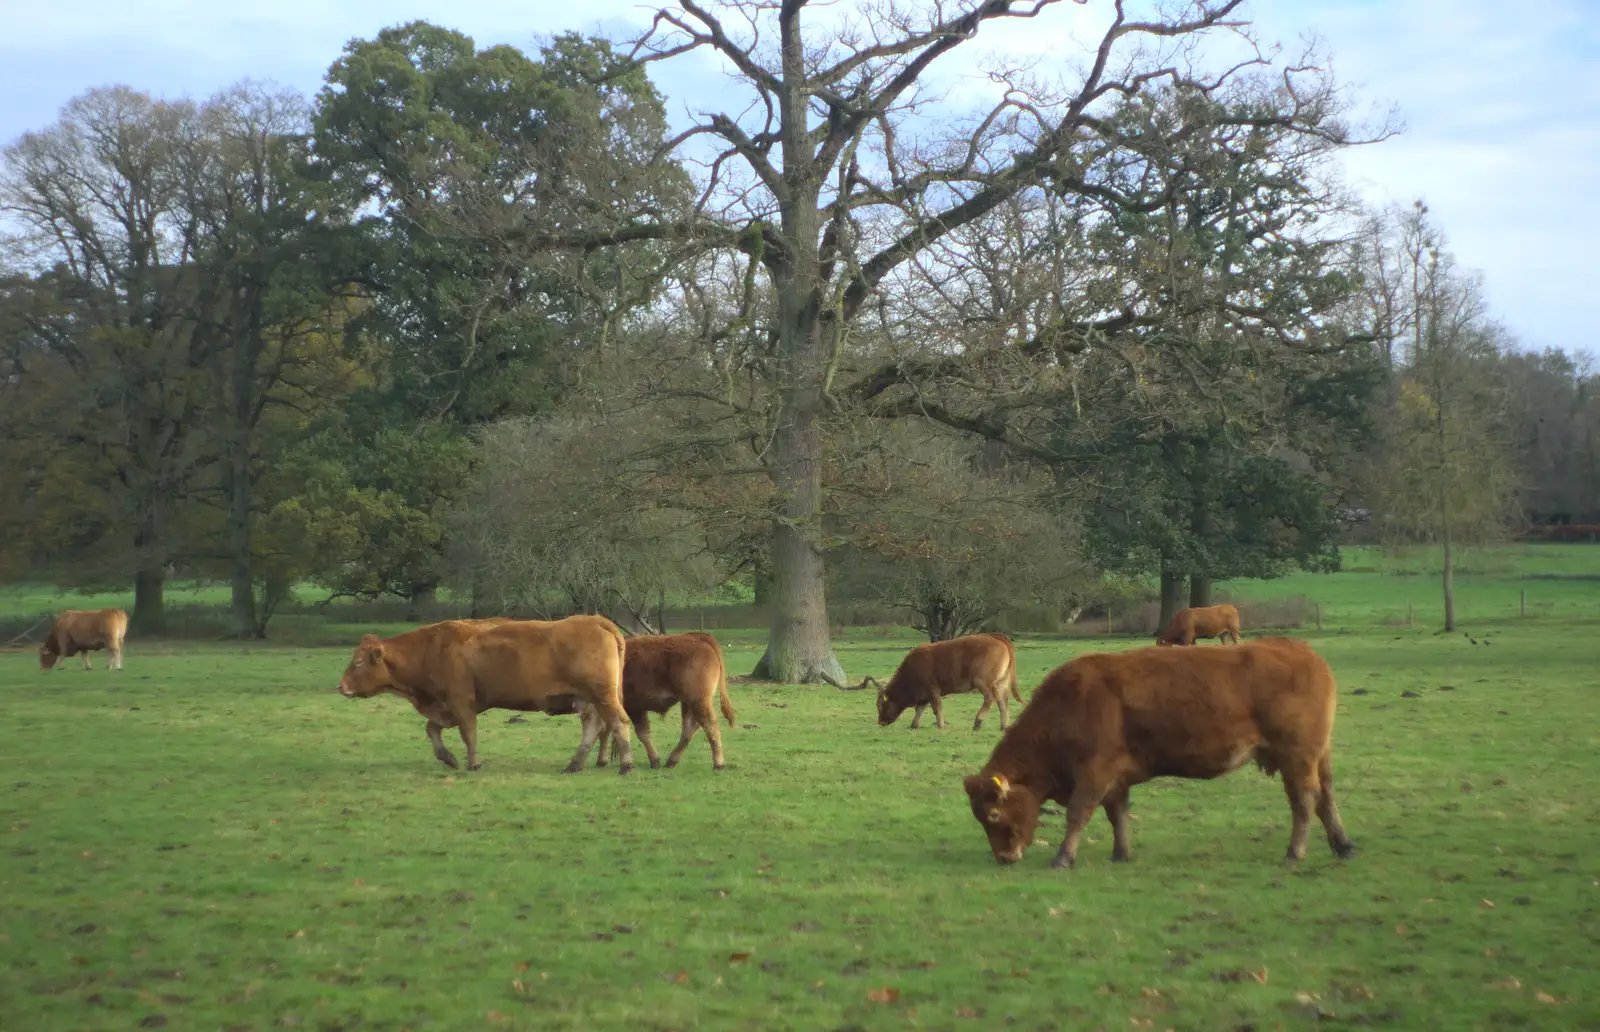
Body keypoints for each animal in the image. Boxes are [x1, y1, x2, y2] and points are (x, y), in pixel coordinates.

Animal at [337, 611, 636, 774]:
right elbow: (432, 728)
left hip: (603, 696)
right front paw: (447, 757)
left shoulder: (460, 702)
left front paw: (473, 763)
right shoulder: (445, 707)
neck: (430, 650)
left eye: (359, 662)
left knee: (618, 722)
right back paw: (574, 764)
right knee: (594, 727)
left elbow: (468, 733)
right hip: (588, 700)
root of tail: (597, 621)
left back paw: (626, 765)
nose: (341, 686)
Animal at [588, 630, 736, 768]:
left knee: (710, 726)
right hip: (688, 703)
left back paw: (718, 763)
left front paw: (654, 760)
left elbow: (641, 733)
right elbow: (609, 729)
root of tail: (699, 637)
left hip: (698, 702)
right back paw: (672, 760)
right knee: (689, 729)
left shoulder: (634, 708)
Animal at [876, 630, 1024, 729]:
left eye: (880, 705)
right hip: (1000, 683)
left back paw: (978, 721)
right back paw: (1004, 725)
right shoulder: (924, 695)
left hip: (983, 682)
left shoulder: (932, 690)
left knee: (990, 699)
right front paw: (914, 724)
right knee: (1002, 701)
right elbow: (920, 709)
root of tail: (993, 636)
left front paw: (940, 725)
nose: (880, 722)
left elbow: (936, 708)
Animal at [960, 640, 1350, 864]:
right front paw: (1121, 853)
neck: (1070, 704)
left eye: (993, 815)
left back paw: (1295, 852)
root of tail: (1302, 651)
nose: (1004, 857)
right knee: (1327, 797)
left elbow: (1078, 813)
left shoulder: (1094, 772)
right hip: (1320, 755)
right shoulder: (1115, 778)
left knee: (1305, 799)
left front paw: (1064, 856)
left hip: (1297, 756)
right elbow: (1117, 814)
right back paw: (1343, 845)